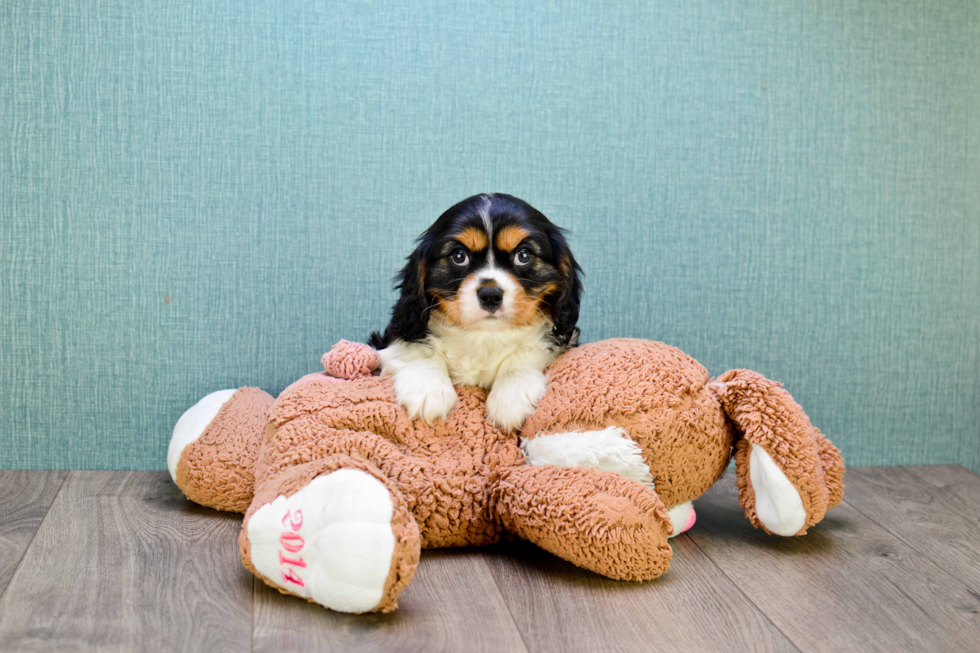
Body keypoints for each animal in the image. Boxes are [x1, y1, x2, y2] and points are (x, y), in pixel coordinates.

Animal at [368, 191, 580, 430]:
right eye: (459, 256)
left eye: (523, 255)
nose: (490, 294)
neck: (485, 335)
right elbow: (420, 350)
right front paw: (428, 389)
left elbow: (525, 355)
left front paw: (511, 396)